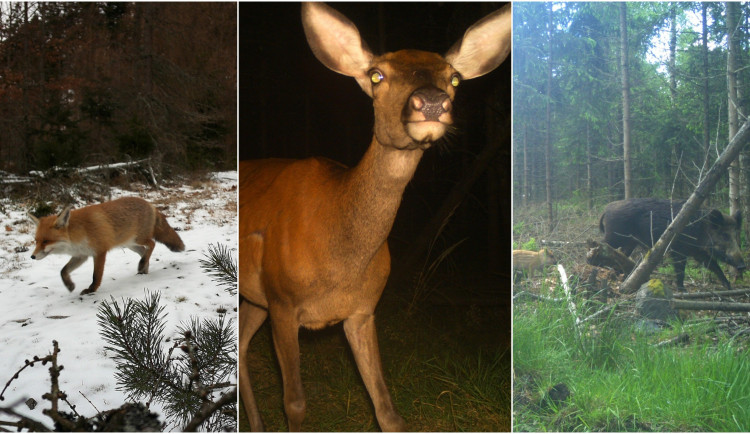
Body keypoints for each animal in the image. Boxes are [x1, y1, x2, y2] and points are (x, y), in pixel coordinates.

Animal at [29, 197, 185, 294]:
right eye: (36, 240)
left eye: (46, 241)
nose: (32, 256)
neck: (79, 232)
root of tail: (150, 204)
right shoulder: (81, 255)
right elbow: (63, 271)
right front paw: (69, 285)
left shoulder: (99, 252)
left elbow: (96, 275)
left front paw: (91, 290)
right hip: (131, 244)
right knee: (144, 252)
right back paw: (143, 269)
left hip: (139, 238)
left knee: (152, 244)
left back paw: (142, 266)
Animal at [241, 2, 512, 430]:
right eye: (376, 75)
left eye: (453, 77)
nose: (431, 102)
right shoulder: (283, 301)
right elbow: (295, 402)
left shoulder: (364, 310)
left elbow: (387, 408)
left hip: (255, 298)